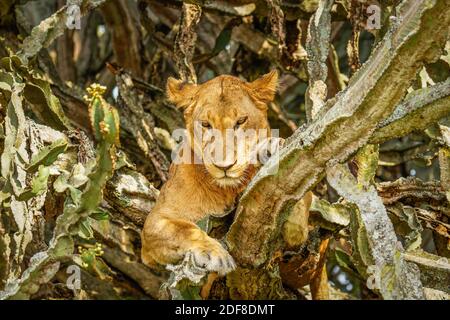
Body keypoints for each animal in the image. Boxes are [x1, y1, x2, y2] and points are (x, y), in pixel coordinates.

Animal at [142, 71, 312, 276]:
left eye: (241, 121)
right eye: (206, 124)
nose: (224, 167)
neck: (227, 190)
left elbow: (302, 200)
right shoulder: (154, 223)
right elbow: (184, 230)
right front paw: (214, 254)